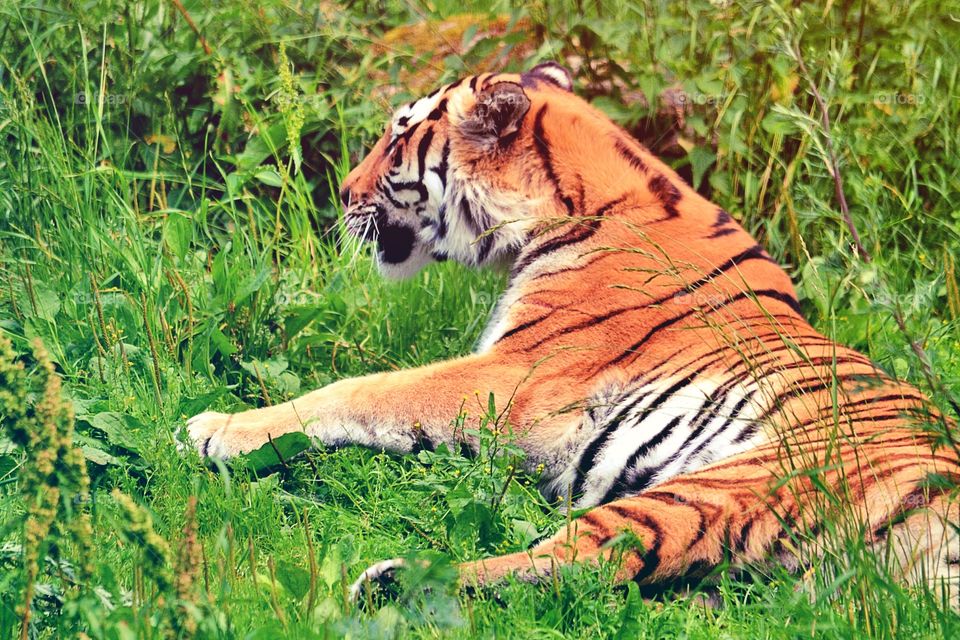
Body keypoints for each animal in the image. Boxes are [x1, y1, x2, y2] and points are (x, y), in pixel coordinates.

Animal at [186, 62, 960, 607]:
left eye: (399, 137)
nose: (342, 195)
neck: (567, 206)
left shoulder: (514, 378)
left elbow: (362, 390)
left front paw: (217, 429)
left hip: (730, 482)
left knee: (587, 560)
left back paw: (388, 583)